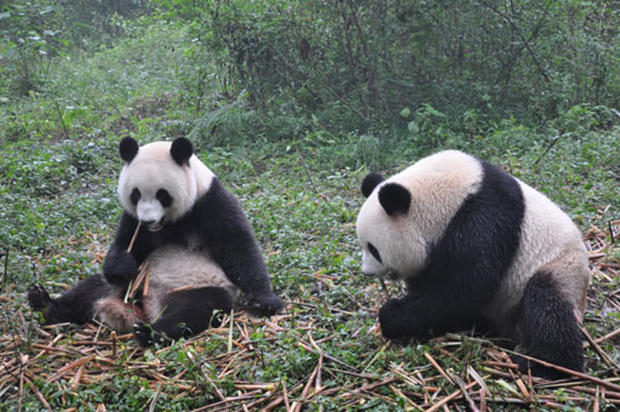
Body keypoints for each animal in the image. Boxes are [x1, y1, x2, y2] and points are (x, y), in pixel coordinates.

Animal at [26, 137, 282, 346]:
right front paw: (122, 264)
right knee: (91, 289)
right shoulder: (132, 219)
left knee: (200, 308)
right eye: (136, 194)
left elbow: (238, 246)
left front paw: (266, 301)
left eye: (162, 194)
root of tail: (146, 309)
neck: (169, 223)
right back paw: (44, 304)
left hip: (194, 285)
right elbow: (125, 245)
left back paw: (150, 332)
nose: (148, 220)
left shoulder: (209, 201)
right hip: (127, 286)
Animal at [356, 150, 588, 378]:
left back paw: (546, 364)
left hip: (560, 270)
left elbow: (466, 287)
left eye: (373, 249)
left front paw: (390, 315)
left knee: (546, 306)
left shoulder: (483, 218)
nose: (366, 272)